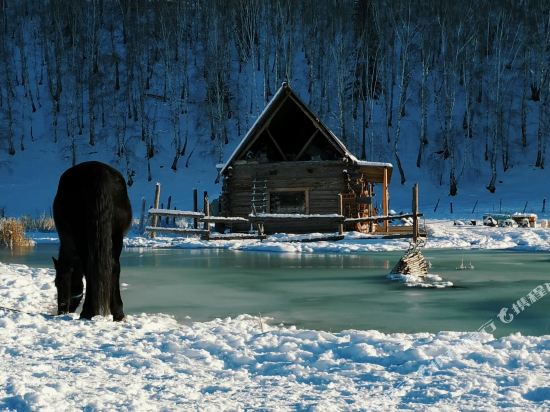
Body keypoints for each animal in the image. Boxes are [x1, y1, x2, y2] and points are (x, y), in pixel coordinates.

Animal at [52, 162, 133, 322]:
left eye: (57, 283)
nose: (61, 310)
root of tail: (98, 172)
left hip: (83, 238)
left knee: (90, 267)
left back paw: (88, 312)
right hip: (116, 238)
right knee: (114, 266)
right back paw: (118, 313)